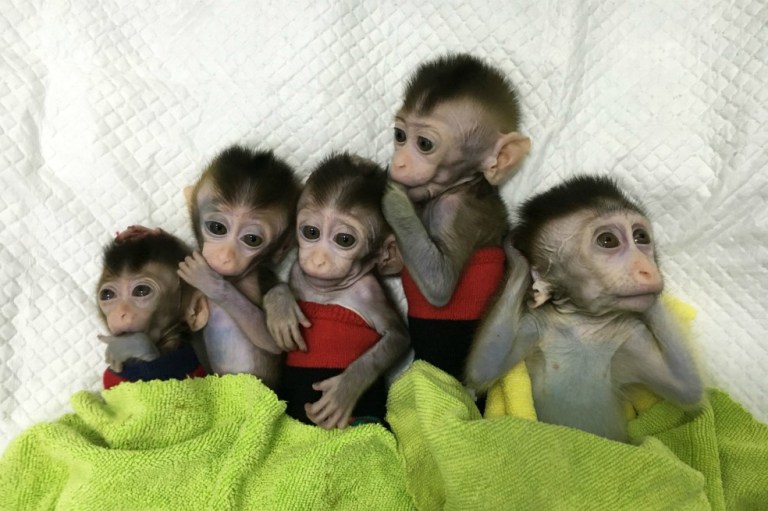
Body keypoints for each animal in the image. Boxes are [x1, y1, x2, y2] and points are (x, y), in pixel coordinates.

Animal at [270, 152, 410, 429]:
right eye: (311, 232)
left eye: (344, 240)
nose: (318, 260)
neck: (329, 293)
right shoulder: (298, 272)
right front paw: (281, 308)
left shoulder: (370, 293)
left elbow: (398, 335)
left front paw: (345, 388)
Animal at [381, 53, 531, 382]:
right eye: (400, 136)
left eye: (424, 144)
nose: (398, 164)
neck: (461, 184)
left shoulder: (455, 211)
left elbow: (440, 283)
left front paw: (392, 196)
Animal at [465, 175, 704, 442]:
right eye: (608, 240)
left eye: (641, 237)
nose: (648, 268)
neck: (584, 324)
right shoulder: (534, 324)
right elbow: (484, 368)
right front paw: (516, 255)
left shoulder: (632, 335)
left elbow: (686, 386)